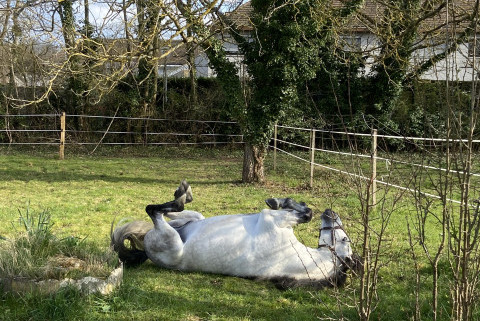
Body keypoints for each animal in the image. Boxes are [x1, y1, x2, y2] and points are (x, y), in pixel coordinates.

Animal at [111, 180, 360, 288]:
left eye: (344, 239)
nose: (331, 213)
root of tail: (147, 249)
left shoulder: (273, 219)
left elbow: (305, 214)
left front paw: (280, 202)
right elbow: (303, 210)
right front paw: (282, 201)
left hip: (171, 239)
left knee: (155, 210)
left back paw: (182, 195)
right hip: (194, 219)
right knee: (171, 211)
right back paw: (183, 192)